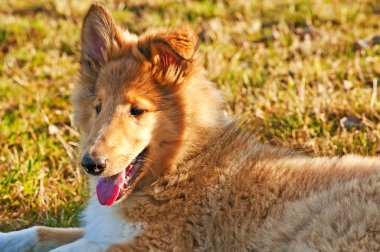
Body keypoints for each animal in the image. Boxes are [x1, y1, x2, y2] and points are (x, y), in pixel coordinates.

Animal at [0, 2, 380, 251]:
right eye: (97, 107)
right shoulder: (105, 230)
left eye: (137, 110)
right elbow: (42, 232)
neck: (183, 163)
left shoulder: (155, 242)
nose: (91, 165)